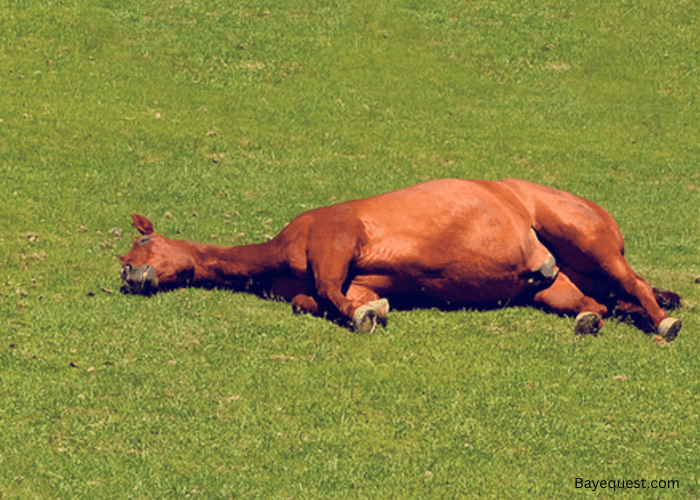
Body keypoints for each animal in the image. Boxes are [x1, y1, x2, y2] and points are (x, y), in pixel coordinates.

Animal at [119, 178, 682, 340]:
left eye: (140, 246)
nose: (129, 278)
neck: (280, 253)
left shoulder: (336, 239)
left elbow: (327, 292)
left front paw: (365, 317)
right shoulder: (352, 277)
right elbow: (317, 300)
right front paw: (374, 309)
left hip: (586, 239)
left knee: (636, 286)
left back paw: (664, 322)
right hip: (554, 284)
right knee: (598, 303)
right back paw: (590, 320)